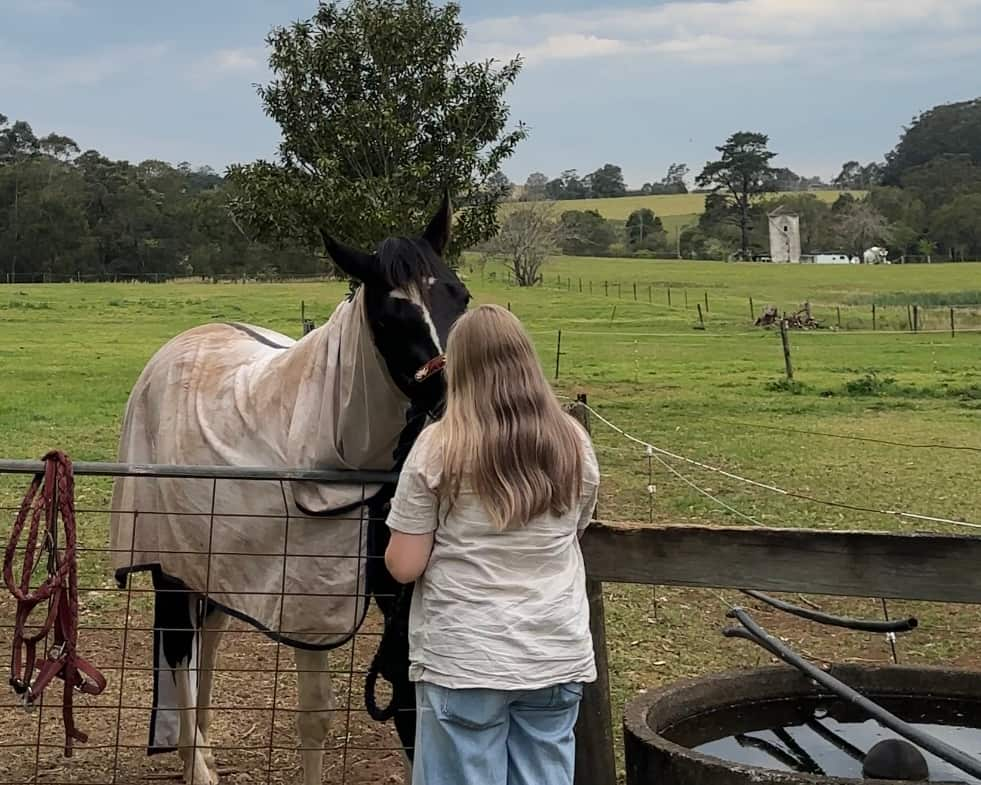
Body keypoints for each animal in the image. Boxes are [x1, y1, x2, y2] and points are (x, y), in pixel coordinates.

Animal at [109, 191, 468, 784]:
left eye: (459, 294)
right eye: (389, 316)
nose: (457, 397)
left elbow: (413, 707)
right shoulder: (309, 602)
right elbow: (316, 717)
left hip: (213, 558)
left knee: (210, 638)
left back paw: (202, 747)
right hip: (169, 561)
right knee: (180, 648)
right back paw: (194, 764)